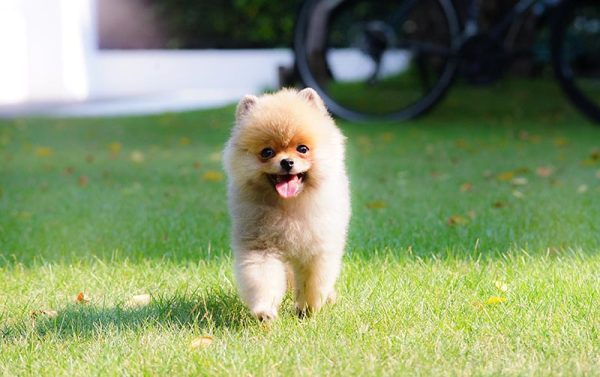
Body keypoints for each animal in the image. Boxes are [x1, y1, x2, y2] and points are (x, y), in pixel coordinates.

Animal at [223, 88, 350, 320]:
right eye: (267, 152)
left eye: (302, 148)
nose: (287, 162)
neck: (288, 208)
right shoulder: (261, 248)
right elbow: (262, 279)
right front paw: (265, 311)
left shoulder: (315, 250)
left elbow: (312, 283)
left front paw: (307, 309)